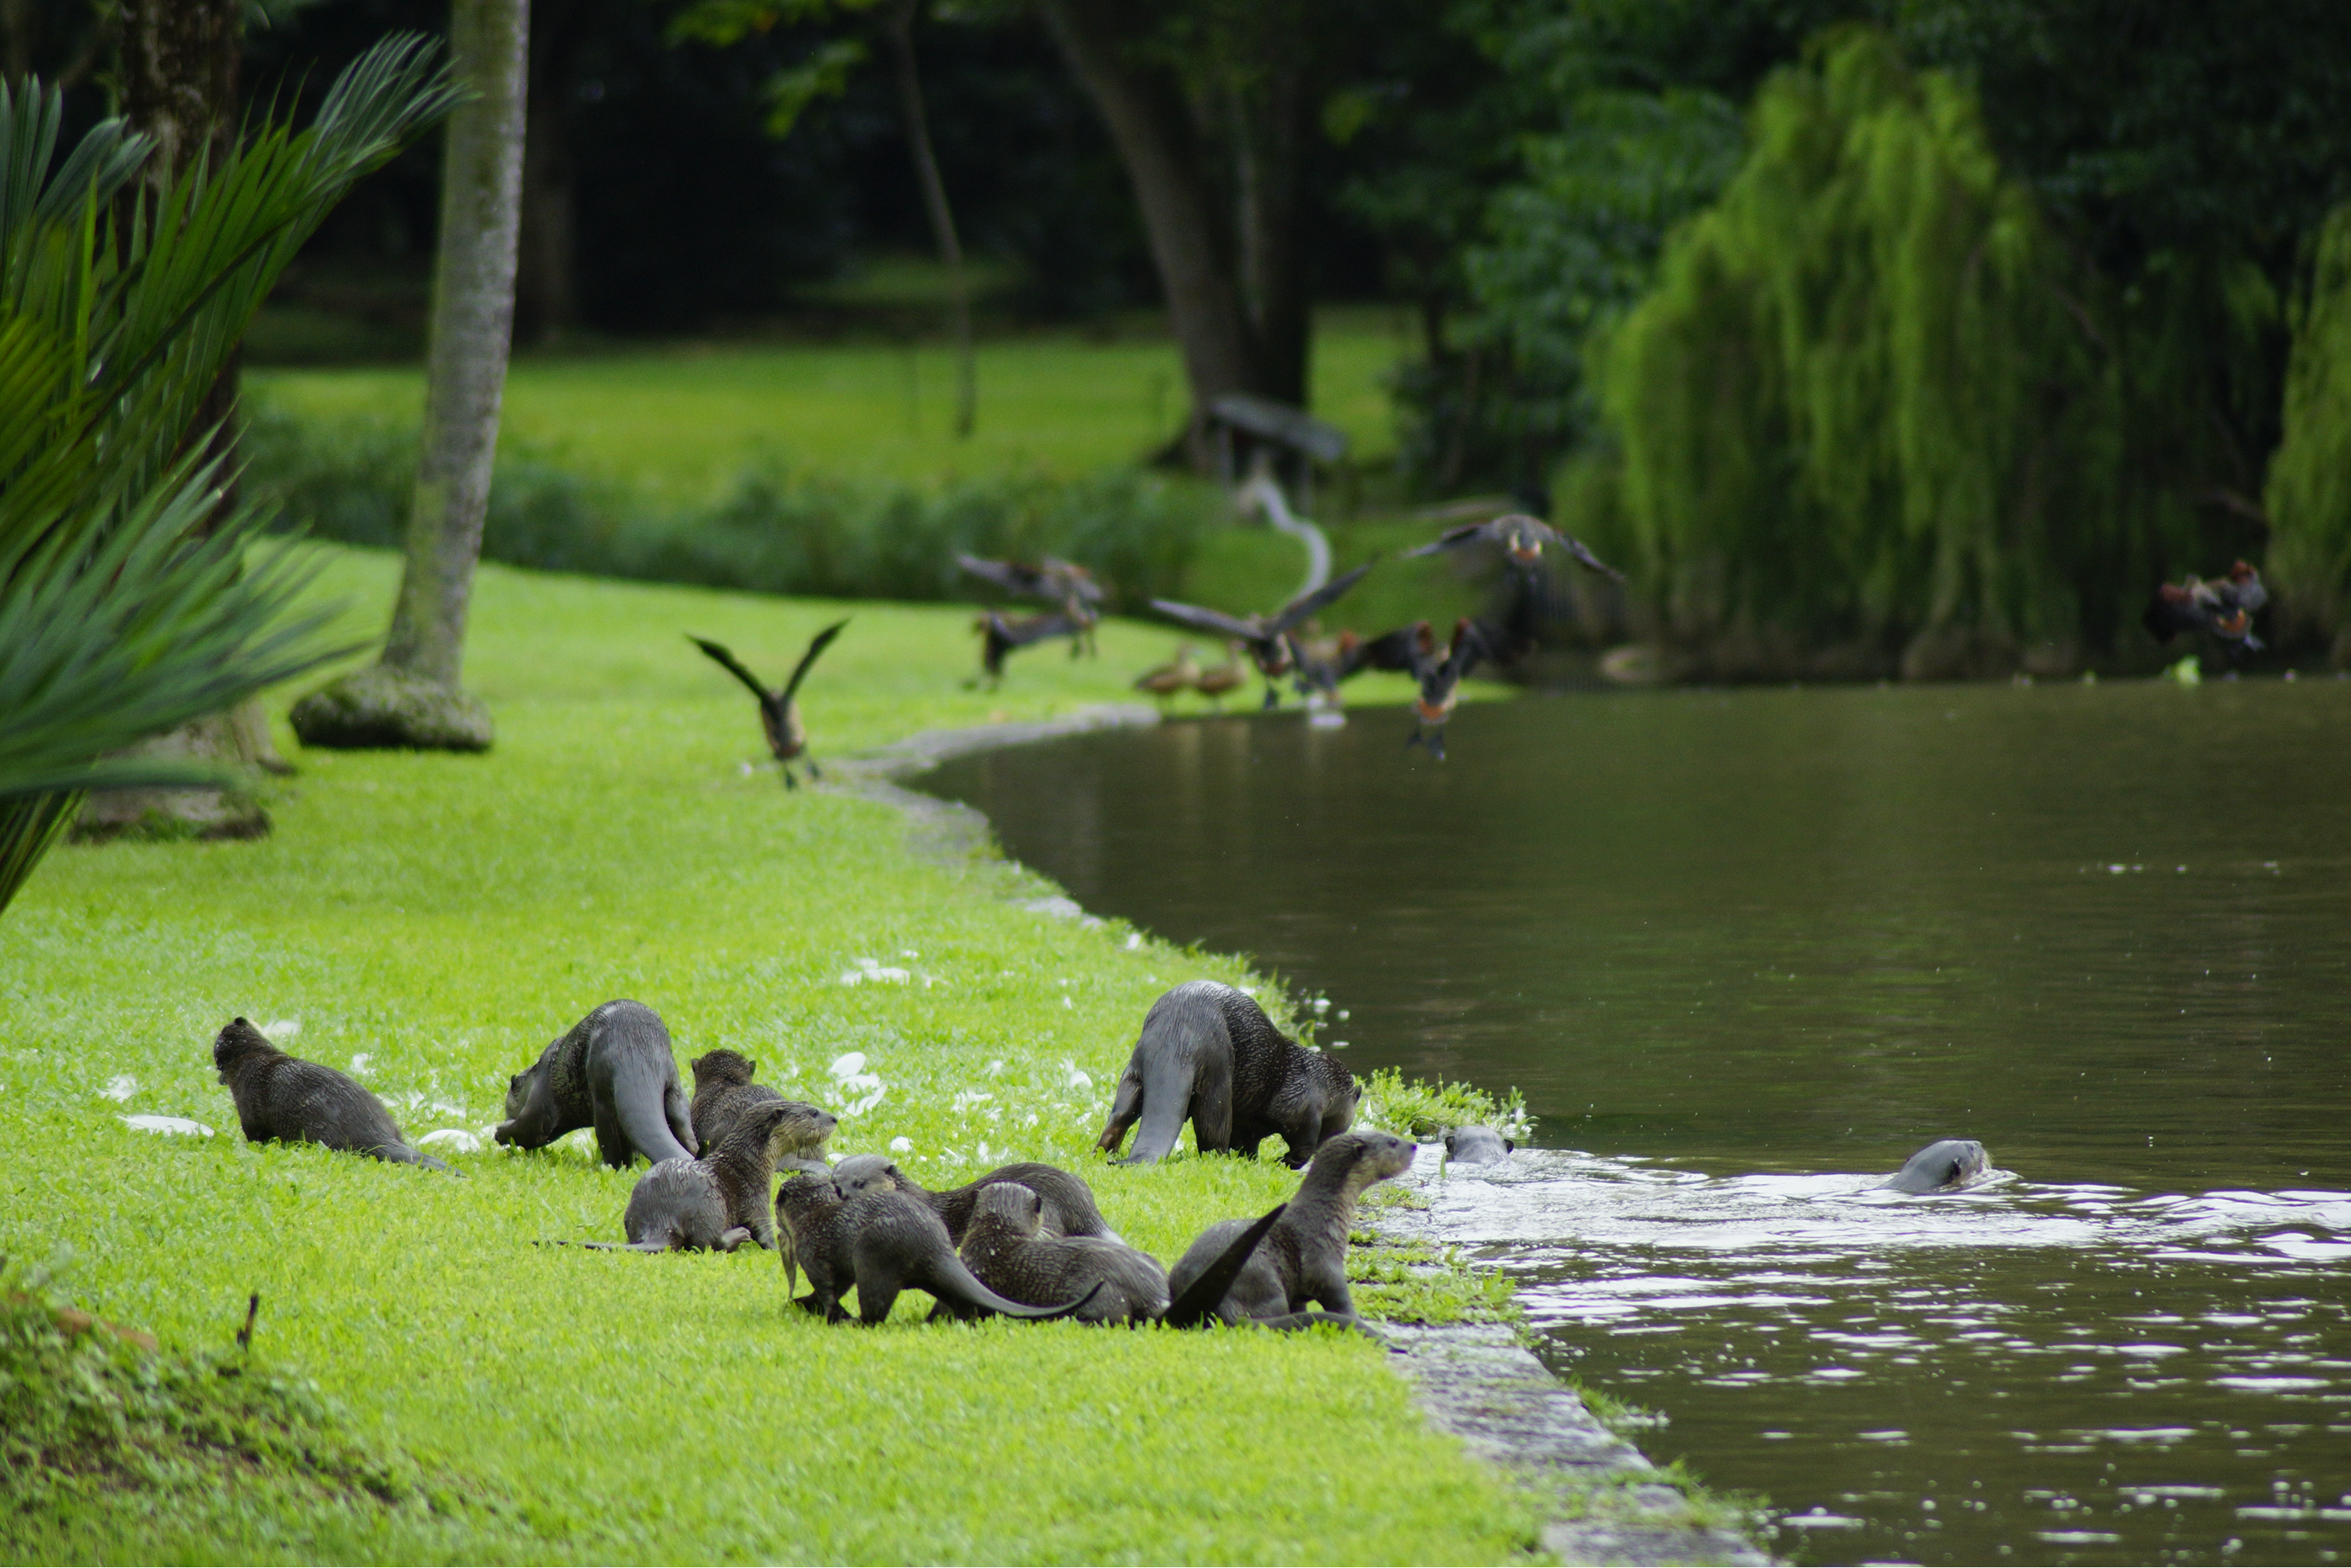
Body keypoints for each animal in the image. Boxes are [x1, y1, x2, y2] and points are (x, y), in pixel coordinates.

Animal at [496, 1000, 696, 1168]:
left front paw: (500, 1132)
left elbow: (529, 1129)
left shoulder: (541, 1098)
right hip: (675, 1089)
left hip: (601, 1095)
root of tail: (634, 1047)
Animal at [773, 1173, 1097, 1325]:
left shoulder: (812, 1253)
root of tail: (933, 1243)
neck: (814, 1215)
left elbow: (828, 1288)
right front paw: (806, 1303)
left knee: (875, 1309)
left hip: (874, 1259)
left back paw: (856, 1322)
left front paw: (825, 1312)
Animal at [1096, 980, 1361, 1167]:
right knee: (1214, 1131)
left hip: (1132, 1073)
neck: (1316, 1079)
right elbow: (1304, 1144)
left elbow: (1247, 1141)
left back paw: (1102, 1152)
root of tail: (1178, 1035)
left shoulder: (1251, 1122)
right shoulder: (1305, 1106)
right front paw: (1284, 1162)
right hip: (1218, 1076)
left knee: (1120, 1115)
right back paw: (1219, 1159)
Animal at [1166, 1130, 1416, 1325]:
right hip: (1264, 1279)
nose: (1414, 1145)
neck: (1325, 1215)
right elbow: (1339, 1300)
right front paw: (1356, 1319)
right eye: (1392, 1142)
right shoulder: (1324, 1261)